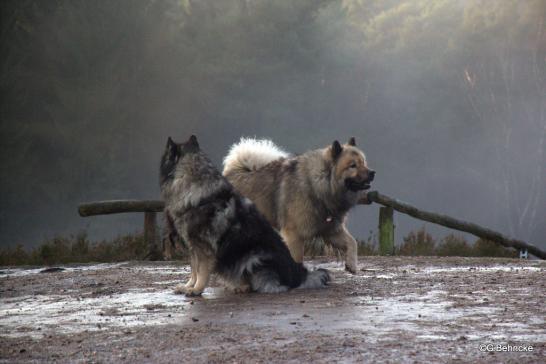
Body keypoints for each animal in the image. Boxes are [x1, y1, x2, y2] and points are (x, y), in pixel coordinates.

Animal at [157, 136, 328, 296]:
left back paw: (242, 286)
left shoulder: (202, 247)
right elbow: (193, 269)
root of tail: (299, 275)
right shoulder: (192, 246)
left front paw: (196, 289)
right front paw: (188, 286)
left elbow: (201, 271)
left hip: (254, 256)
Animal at [223, 137, 372, 272]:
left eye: (364, 163)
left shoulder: (331, 230)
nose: (372, 173)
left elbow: (352, 243)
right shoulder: (294, 235)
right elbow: (297, 258)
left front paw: (351, 265)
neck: (318, 185)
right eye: (352, 165)